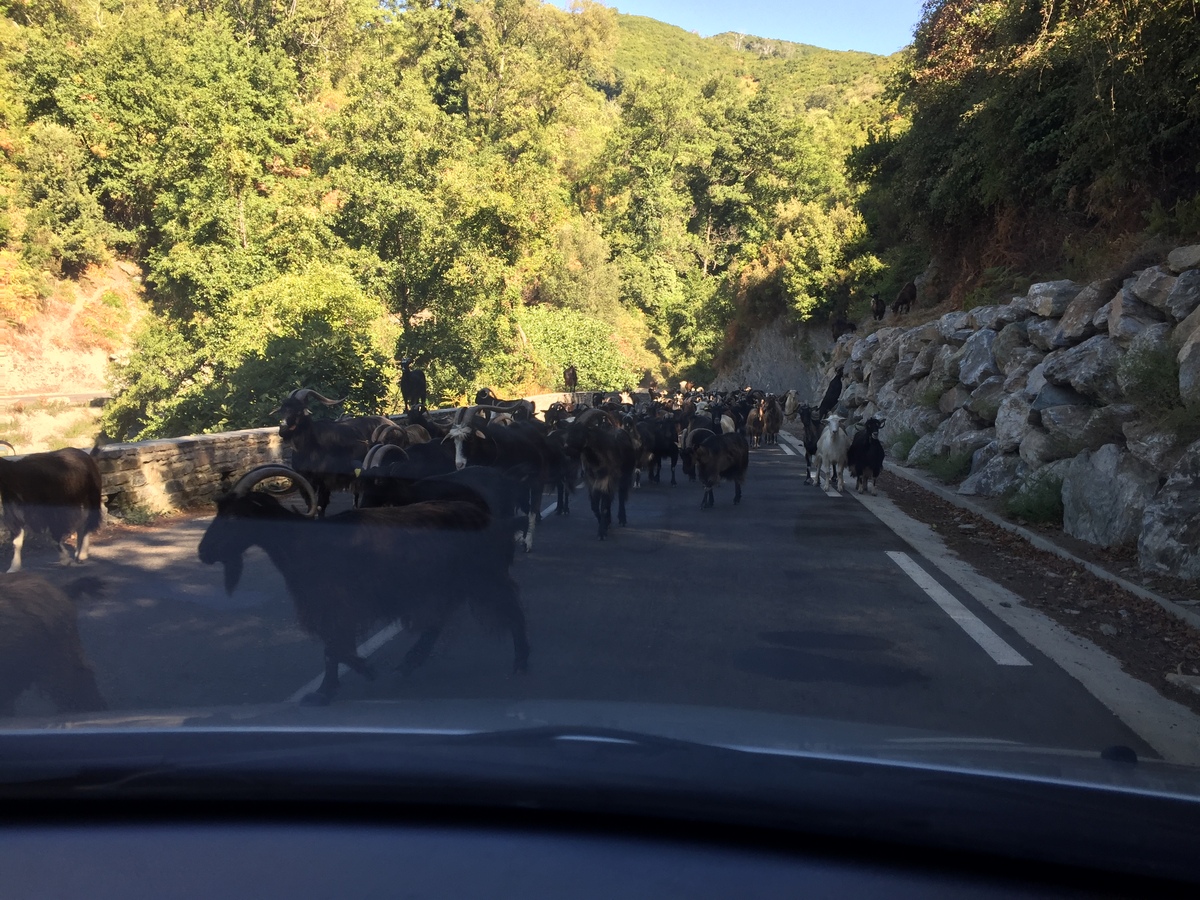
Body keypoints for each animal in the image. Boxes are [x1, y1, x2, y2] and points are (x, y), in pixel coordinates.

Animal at [0, 441, 102, 573]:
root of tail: (88, 456)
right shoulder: (15, 516)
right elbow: (16, 542)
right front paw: (14, 567)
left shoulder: (53, 514)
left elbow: (53, 538)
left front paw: (65, 560)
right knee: (81, 525)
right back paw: (78, 554)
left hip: (91, 498)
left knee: (88, 523)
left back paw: (82, 554)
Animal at [199, 468, 528, 710]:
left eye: (236, 515)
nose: (204, 552)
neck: (304, 541)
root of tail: (492, 520)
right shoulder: (329, 606)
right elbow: (333, 648)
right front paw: (333, 687)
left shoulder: (339, 603)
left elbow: (333, 648)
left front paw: (342, 682)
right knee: (438, 622)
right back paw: (409, 663)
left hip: (485, 577)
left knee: (513, 610)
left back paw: (520, 665)